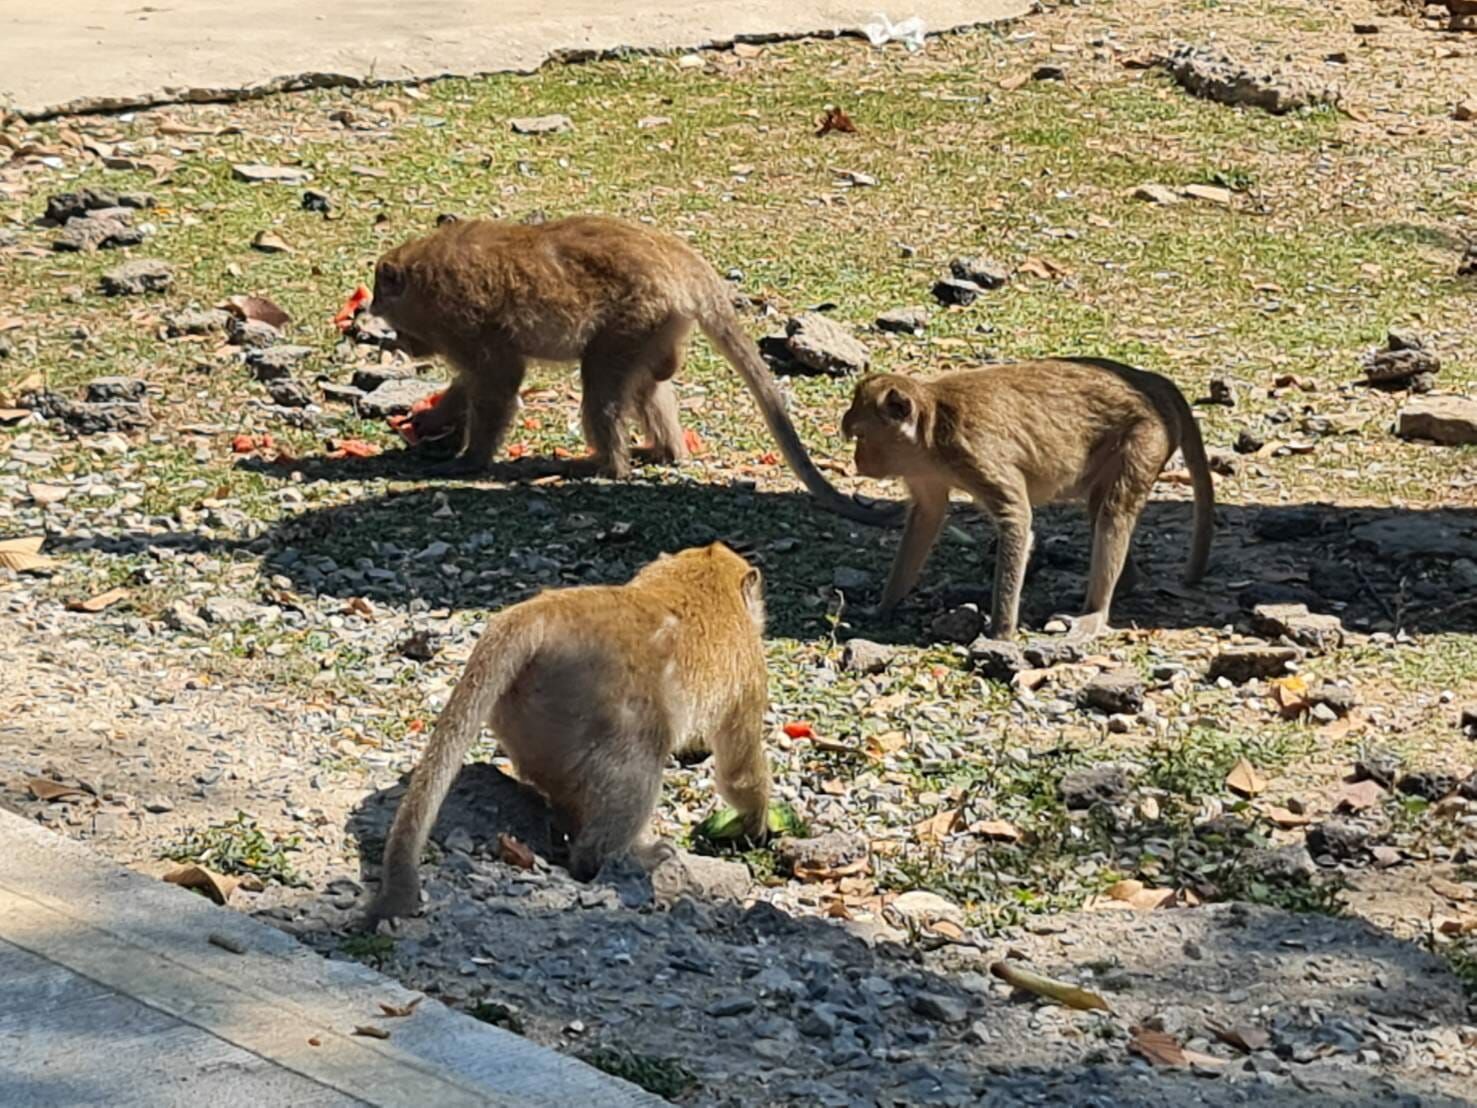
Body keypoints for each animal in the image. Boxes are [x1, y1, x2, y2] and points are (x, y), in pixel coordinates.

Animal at [366, 543, 773, 921]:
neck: (700, 579)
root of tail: (541, 614)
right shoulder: (750, 668)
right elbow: (738, 769)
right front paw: (755, 824)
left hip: (527, 718)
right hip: (598, 701)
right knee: (637, 764)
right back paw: (616, 858)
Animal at [369, 218, 898, 531]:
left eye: (383, 301)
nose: (404, 343)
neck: (429, 276)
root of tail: (680, 259)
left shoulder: (464, 322)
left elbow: (499, 378)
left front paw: (469, 459)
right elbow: (474, 382)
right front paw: (431, 421)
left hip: (637, 314)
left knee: (602, 382)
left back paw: (608, 464)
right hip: (659, 322)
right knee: (648, 382)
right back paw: (662, 450)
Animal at [844, 357, 1211, 641]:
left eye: (861, 436)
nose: (858, 461)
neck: (931, 433)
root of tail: (1151, 381)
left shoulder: (974, 453)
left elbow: (1016, 518)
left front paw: (1001, 632)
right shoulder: (922, 470)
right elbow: (928, 516)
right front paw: (884, 606)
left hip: (1147, 435)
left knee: (1114, 511)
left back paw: (1096, 612)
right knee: (1100, 507)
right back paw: (1124, 585)